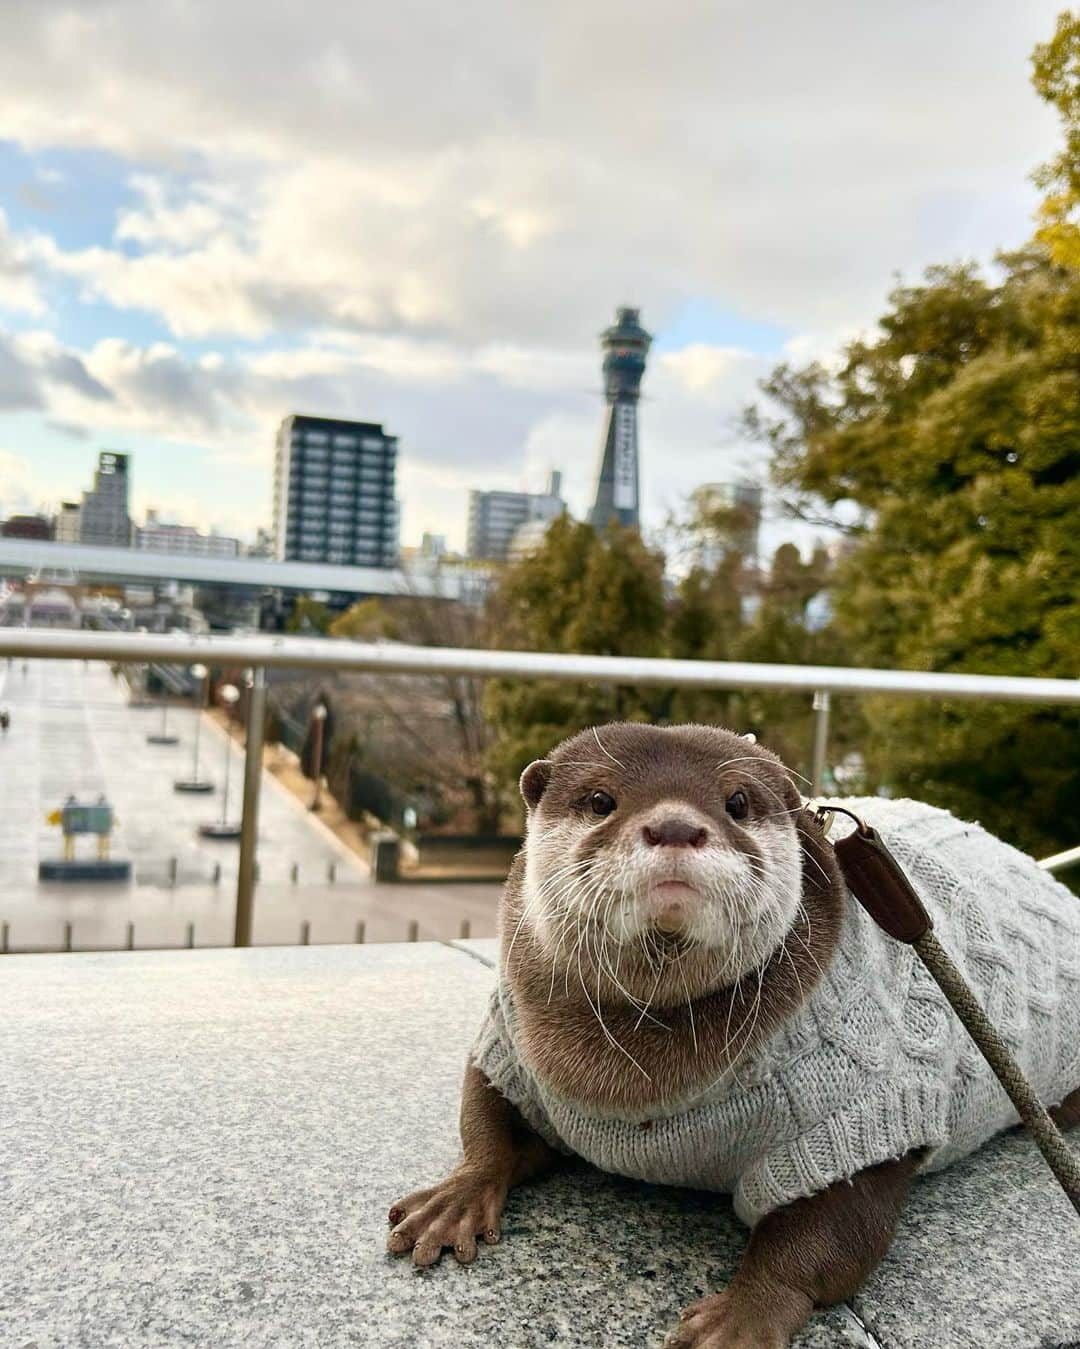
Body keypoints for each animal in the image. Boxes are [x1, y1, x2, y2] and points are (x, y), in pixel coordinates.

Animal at [388, 723, 1078, 1343]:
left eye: (738, 802)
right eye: (600, 799)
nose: (673, 826)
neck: (624, 1078)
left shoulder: (860, 1113)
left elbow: (828, 1235)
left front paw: (741, 1317)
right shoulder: (511, 1046)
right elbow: (485, 1119)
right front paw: (452, 1201)